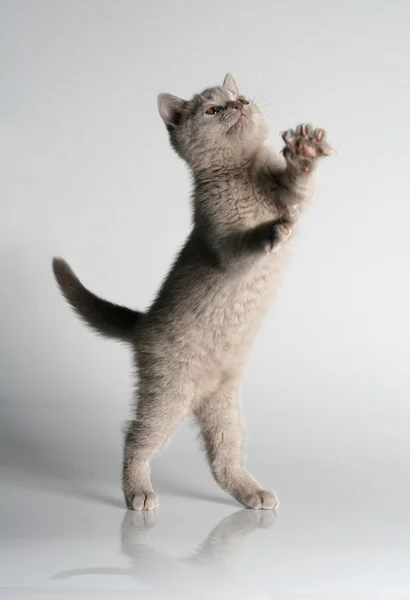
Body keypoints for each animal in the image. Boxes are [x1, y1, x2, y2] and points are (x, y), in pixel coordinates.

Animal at [52, 74, 334, 510]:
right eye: (213, 110)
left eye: (240, 97)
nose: (238, 105)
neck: (242, 173)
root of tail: (142, 323)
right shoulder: (221, 242)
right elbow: (243, 249)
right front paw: (270, 233)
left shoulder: (293, 200)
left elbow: (300, 189)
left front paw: (304, 150)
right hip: (168, 393)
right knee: (135, 437)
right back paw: (139, 493)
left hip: (225, 408)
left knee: (222, 460)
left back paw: (252, 493)